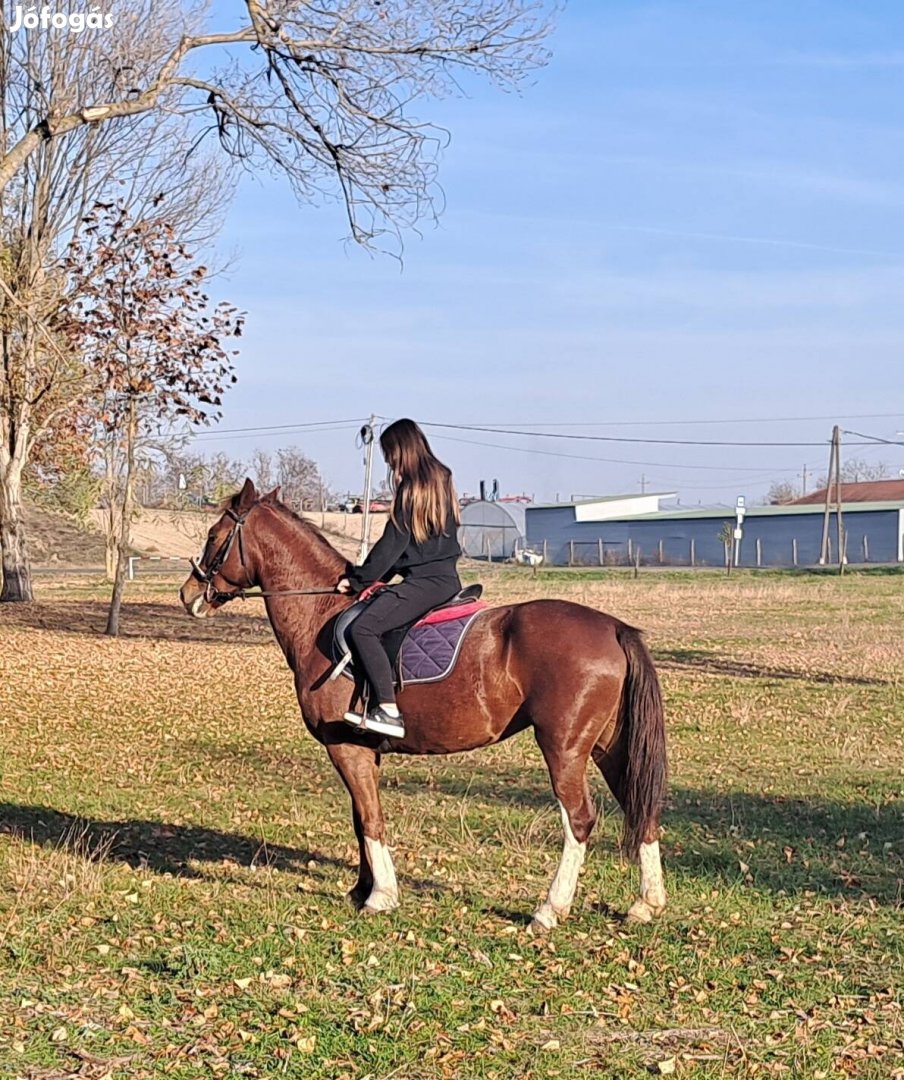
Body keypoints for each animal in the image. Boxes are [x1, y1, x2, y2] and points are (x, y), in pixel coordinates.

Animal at [180, 481, 665, 928]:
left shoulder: (346, 749)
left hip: (563, 748)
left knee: (580, 820)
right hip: (608, 747)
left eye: (213, 535)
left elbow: (371, 819)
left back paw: (550, 909)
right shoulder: (364, 751)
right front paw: (361, 889)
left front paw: (381, 896)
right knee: (640, 807)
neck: (322, 613)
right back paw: (646, 904)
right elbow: (360, 818)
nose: (188, 594)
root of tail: (613, 627)